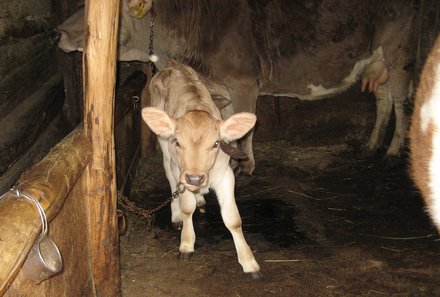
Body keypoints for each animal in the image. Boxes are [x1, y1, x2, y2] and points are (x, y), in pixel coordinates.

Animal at [55, 0, 416, 176]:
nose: (56, 32)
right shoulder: (222, 88)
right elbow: (226, 125)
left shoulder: (245, 82)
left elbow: (246, 127)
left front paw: (245, 165)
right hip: (375, 63)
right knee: (383, 99)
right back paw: (372, 144)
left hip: (399, 53)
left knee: (400, 101)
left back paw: (393, 150)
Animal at [141, 60, 262, 278]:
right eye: (178, 141)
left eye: (216, 143)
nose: (195, 178)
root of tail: (172, 65)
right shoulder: (181, 172)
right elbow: (187, 207)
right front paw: (186, 244)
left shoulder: (226, 175)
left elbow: (233, 219)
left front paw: (249, 262)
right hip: (164, 148)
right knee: (169, 176)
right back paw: (176, 215)